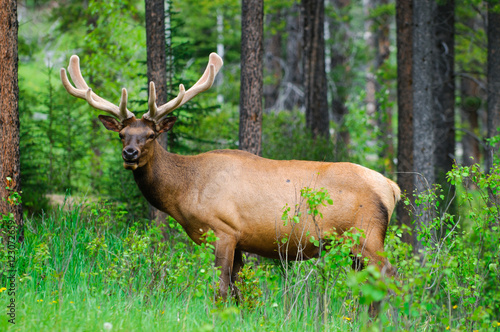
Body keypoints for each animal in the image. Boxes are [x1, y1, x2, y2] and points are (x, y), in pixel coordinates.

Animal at [60, 52, 400, 300]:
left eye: (151, 135)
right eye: (122, 135)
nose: (129, 154)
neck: (185, 191)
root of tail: (392, 187)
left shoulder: (223, 229)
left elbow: (221, 288)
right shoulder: (240, 239)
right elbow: (239, 289)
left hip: (367, 234)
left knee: (391, 278)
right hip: (354, 245)